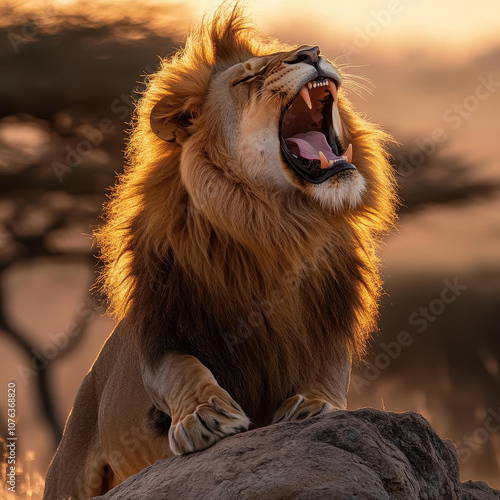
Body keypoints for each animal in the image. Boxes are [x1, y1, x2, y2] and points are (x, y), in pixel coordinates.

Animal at [43, 4, 396, 500]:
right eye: (248, 78)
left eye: (300, 52)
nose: (312, 52)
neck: (277, 226)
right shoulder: (164, 328)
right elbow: (182, 371)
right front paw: (204, 415)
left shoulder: (328, 325)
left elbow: (329, 373)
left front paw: (314, 405)